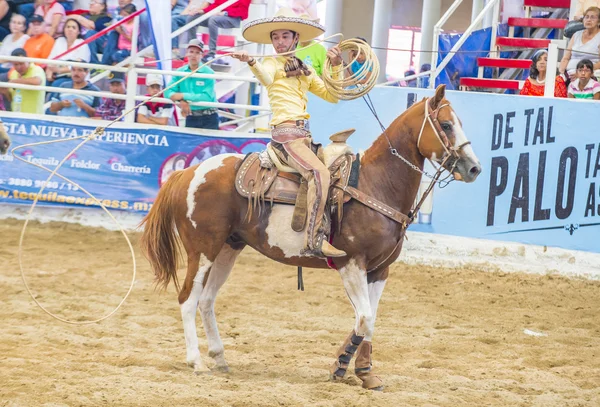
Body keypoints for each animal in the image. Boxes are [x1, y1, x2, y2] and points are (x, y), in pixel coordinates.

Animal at [141, 86, 482, 392]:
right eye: (447, 125)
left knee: (207, 300)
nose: (474, 168)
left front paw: (363, 372)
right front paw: (342, 365)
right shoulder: (352, 265)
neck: (375, 184)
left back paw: (220, 358)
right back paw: (196, 361)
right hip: (203, 249)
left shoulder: (380, 271)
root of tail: (188, 172)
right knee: (188, 298)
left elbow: (370, 321)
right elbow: (365, 317)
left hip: (228, 248)